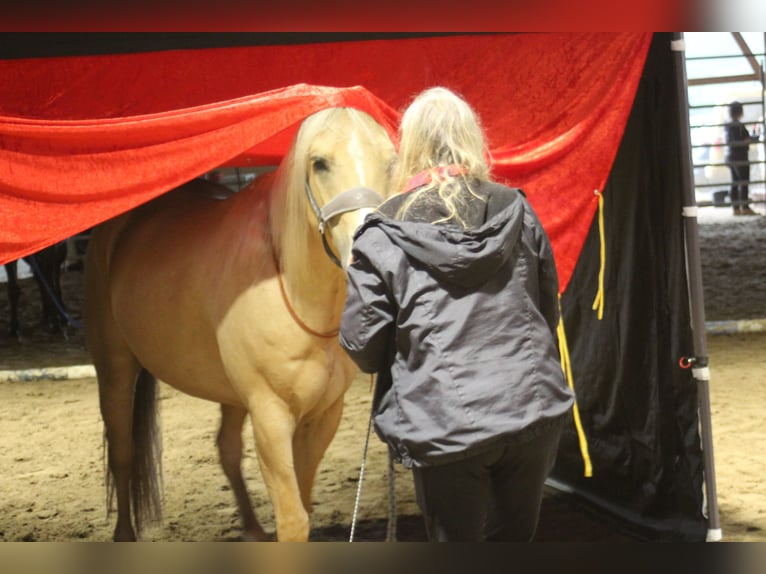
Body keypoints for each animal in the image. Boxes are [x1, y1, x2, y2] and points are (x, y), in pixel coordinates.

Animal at [83, 106, 397, 542]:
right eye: (319, 163)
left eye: (390, 161)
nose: (369, 250)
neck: (291, 287)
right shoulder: (270, 418)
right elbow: (293, 520)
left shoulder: (323, 416)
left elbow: (302, 503)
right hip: (115, 368)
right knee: (123, 451)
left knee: (226, 449)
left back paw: (251, 530)